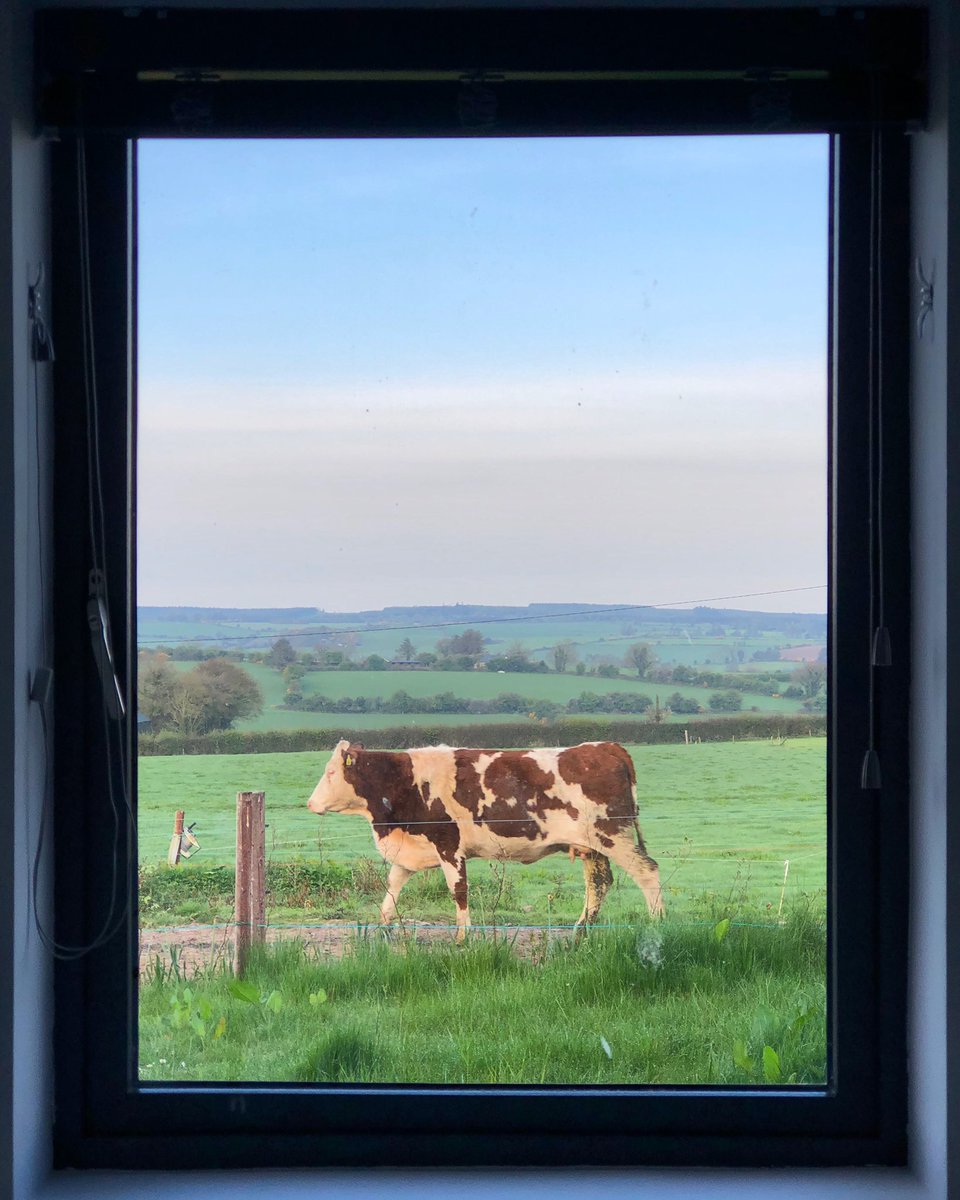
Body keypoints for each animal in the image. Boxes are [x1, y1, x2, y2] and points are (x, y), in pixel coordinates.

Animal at [307, 739, 664, 939]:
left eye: (330, 772)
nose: (310, 803)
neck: (404, 782)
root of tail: (606, 747)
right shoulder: (411, 847)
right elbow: (392, 888)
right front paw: (381, 927)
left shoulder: (449, 846)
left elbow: (459, 891)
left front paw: (463, 937)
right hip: (592, 846)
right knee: (599, 883)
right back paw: (580, 931)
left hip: (614, 835)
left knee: (647, 872)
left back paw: (658, 924)